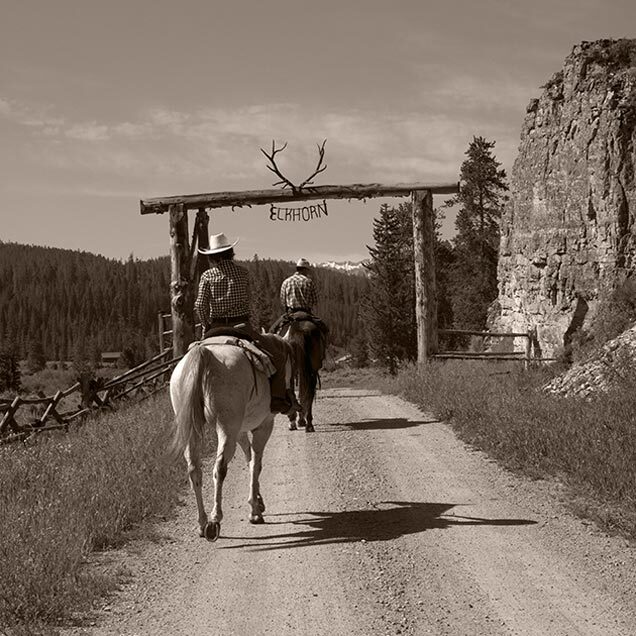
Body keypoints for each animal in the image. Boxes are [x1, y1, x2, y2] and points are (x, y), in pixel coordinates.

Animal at [170, 342, 278, 540]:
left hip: (194, 431)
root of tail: (205, 353)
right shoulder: (264, 425)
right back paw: (214, 520)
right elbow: (256, 464)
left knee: (194, 470)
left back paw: (202, 522)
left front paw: (258, 501)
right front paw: (255, 511)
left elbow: (249, 458)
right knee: (219, 468)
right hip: (227, 428)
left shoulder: (240, 431)